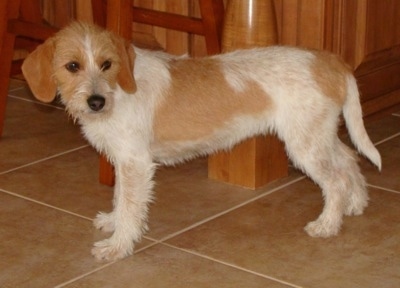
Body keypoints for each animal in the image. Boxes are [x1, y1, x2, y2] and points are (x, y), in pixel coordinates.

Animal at [21, 22, 382, 260]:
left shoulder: (135, 163)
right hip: (318, 136)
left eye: (107, 64)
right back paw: (356, 204)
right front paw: (112, 222)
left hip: (305, 145)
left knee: (336, 180)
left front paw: (118, 246)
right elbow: (120, 197)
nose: (96, 102)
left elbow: (130, 206)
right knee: (349, 159)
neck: (118, 90)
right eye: (72, 66)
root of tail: (330, 60)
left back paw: (327, 224)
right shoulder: (126, 161)